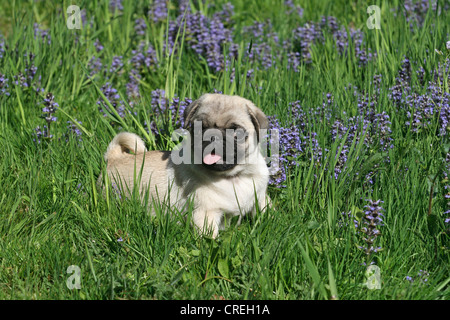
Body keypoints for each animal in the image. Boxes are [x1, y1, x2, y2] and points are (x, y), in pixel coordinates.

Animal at [99, 92, 270, 238]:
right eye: (200, 127)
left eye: (236, 132)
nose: (212, 136)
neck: (234, 177)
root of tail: (114, 157)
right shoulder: (205, 214)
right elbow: (211, 239)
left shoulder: (261, 198)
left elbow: (266, 210)